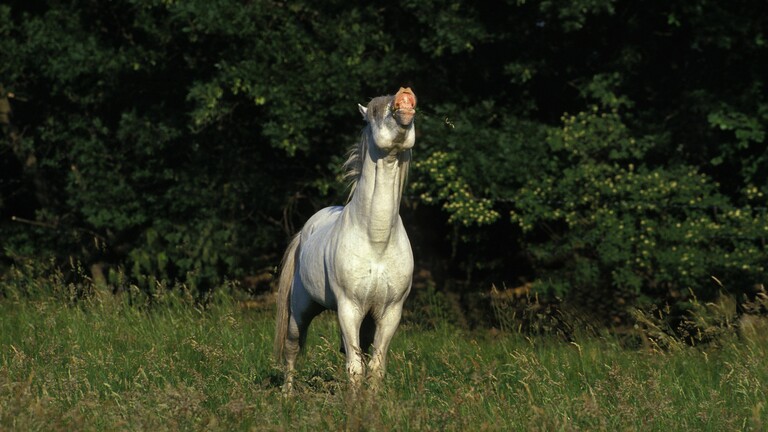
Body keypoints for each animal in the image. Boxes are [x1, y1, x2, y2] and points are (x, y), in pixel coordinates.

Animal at [274, 87, 417, 392]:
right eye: (373, 113)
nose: (404, 96)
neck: (377, 240)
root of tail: (306, 230)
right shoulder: (349, 308)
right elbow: (354, 368)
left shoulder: (389, 313)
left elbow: (374, 369)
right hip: (302, 307)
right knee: (292, 347)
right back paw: (287, 395)